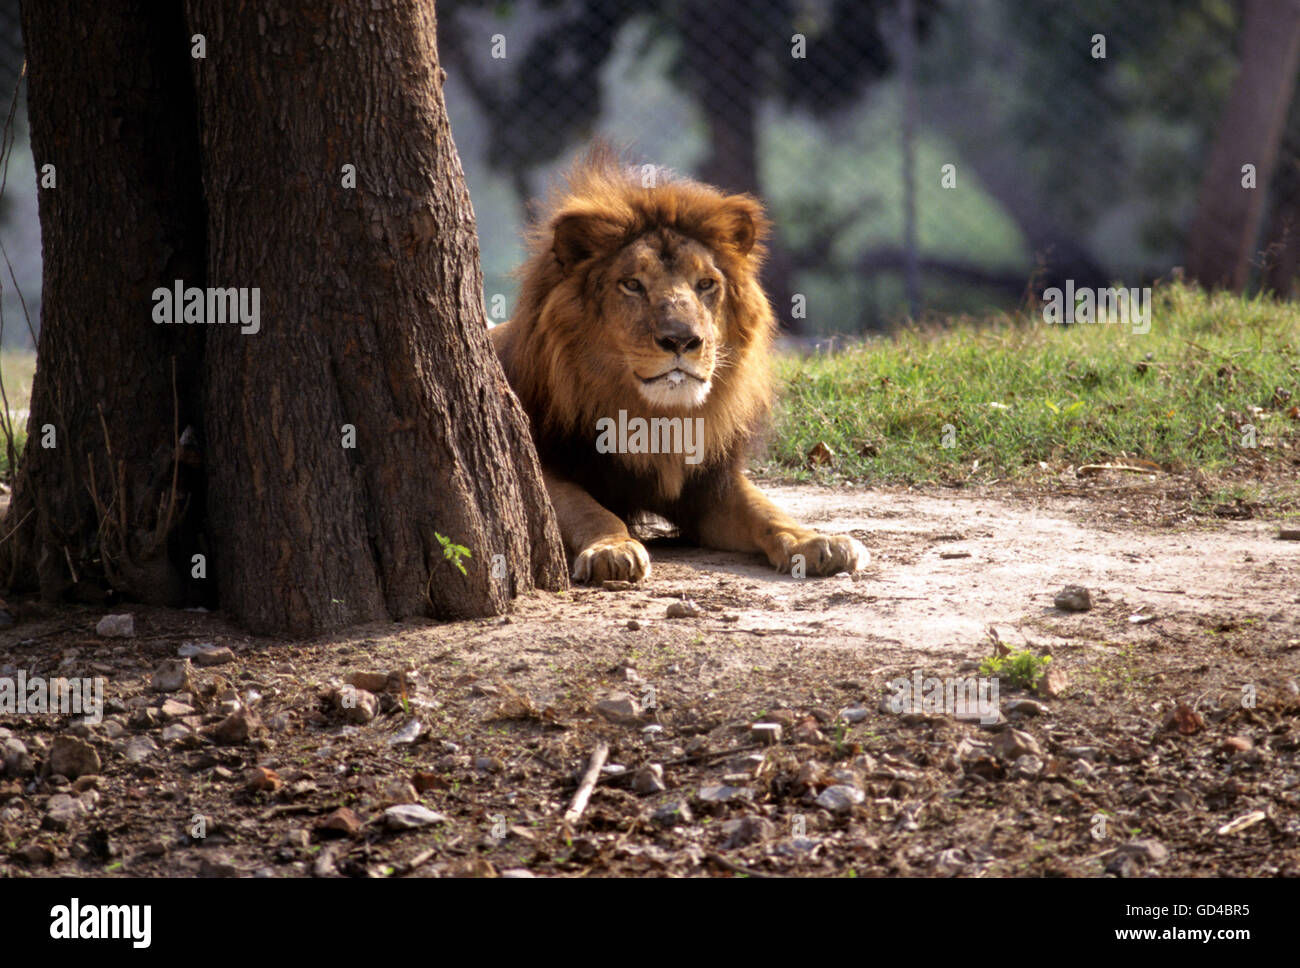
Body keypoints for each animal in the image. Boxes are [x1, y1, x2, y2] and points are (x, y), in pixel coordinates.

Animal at [491, 145, 868, 582]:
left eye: (705, 284)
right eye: (632, 284)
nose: (682, 340)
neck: (655, 420)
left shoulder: (708, 485)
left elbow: (767, 511)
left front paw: (816, 541)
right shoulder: (533, 463)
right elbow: (584, 508)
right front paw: (613, 548)